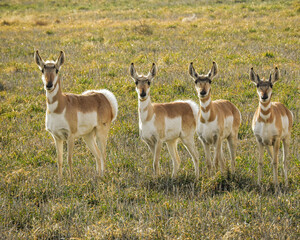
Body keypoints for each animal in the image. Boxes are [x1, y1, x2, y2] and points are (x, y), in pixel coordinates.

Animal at [34, 49, 118, 179]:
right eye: (42, 69)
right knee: (97, 154)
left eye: (57, 69)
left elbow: (69, 159)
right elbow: (59, 160)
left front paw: (71, 179)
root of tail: (103, 96)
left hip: (101, 133)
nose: (49, 85)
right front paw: (59, 180)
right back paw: (98, 176)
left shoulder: (70, 136)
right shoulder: (57, 137)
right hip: (88, 136)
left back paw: (103, 176)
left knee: (103, 154)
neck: (59, 107)